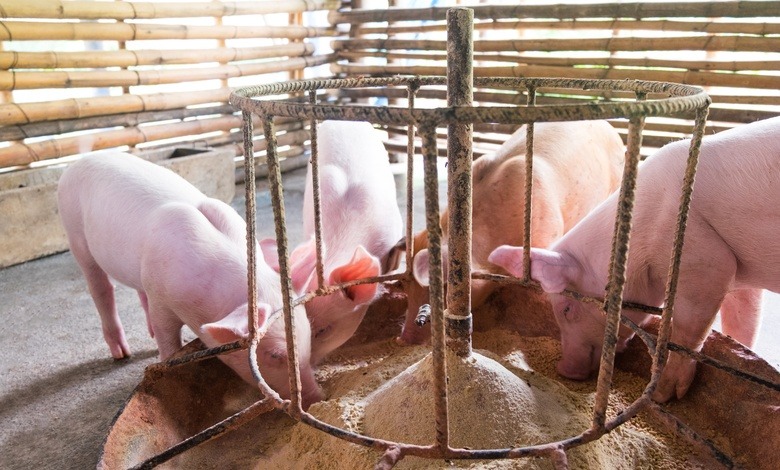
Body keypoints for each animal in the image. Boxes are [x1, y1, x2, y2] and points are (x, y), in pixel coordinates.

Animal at [58, 152, 321, 408]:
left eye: (309, 336)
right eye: (275, 355)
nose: (316, 398)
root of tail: (81, 159)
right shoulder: (162, 299)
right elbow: (167, 340)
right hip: (74, 232)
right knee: (100, 287)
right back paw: (122, 353)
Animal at [489, 116, 780, 403]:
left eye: (566, 309)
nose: (565, 369)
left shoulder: (705, 259)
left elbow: (688, 327)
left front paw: (663, 395)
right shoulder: (739, 272)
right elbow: (743, 318)